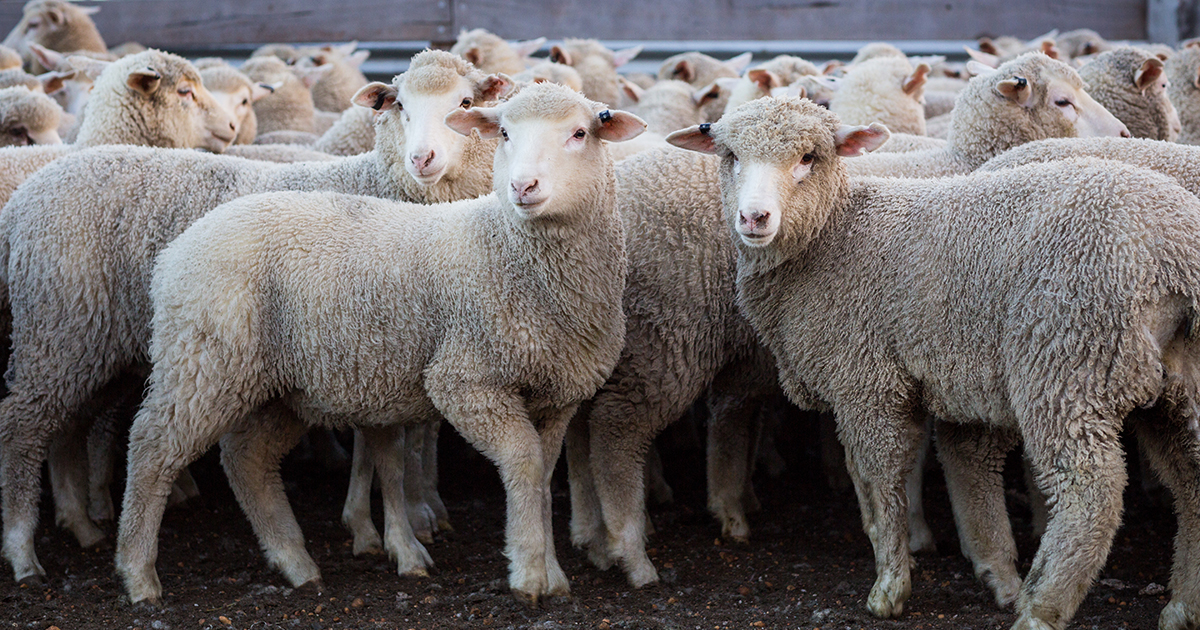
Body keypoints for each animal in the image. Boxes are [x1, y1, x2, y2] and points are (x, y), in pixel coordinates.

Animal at [0, 49, 514, 586]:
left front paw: (410, 514)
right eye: (400, 107)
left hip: (95, 348)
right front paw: (393, 529)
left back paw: (80, 524)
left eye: (465, 103)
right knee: (22, 427)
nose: (422, 159)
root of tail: (22, 204)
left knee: (68, 426)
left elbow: (410, 436)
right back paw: (25, 549)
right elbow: (386, 447)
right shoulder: (371, 342)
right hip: (62, 332)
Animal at [111, 81, 643, 605]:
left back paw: (295, 562)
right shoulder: (466, 381)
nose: (523, 187)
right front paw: (530, 574)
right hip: (204, 360)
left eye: (579, 133)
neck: (508, 249)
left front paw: (551, 572)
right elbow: (526, 465)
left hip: (279, 386)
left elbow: (544, 475)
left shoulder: (556, 394)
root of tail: (177, 249)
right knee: (152, 447)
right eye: (506, 133)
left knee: (247, 460)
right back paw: (138, 574)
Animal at [667, 95, 1200, 630]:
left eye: (808, 158)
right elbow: (869, 486)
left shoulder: (865, 382)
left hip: (1068, 362)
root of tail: (1172, 252)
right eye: (730, 156)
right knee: (1191, 479)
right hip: (1173, 383)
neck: (832, 236)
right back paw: (1181, 606)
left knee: (1091, 492)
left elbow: (881, 482)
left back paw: (1041, 608)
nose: (754, 218)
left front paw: (890, 587)